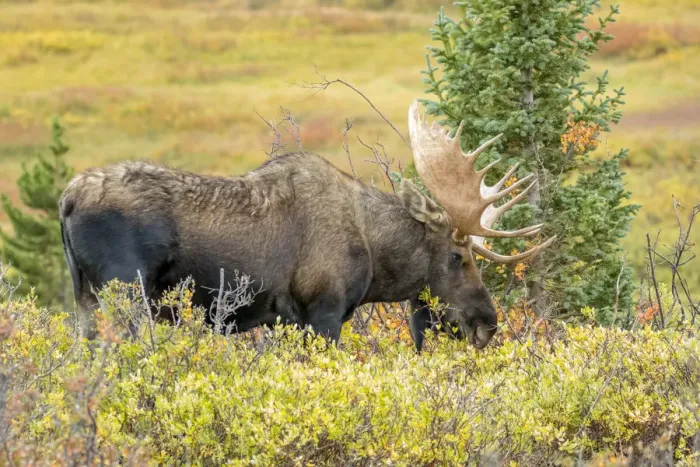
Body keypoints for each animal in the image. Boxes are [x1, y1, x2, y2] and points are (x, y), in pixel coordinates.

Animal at [58, 101, 555, 351]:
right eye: (458, 256)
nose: (488, 323)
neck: (375, 258)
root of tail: (66, 201)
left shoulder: (288, 321)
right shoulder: (323, 311)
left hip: (85, 298)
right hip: (125, 295)